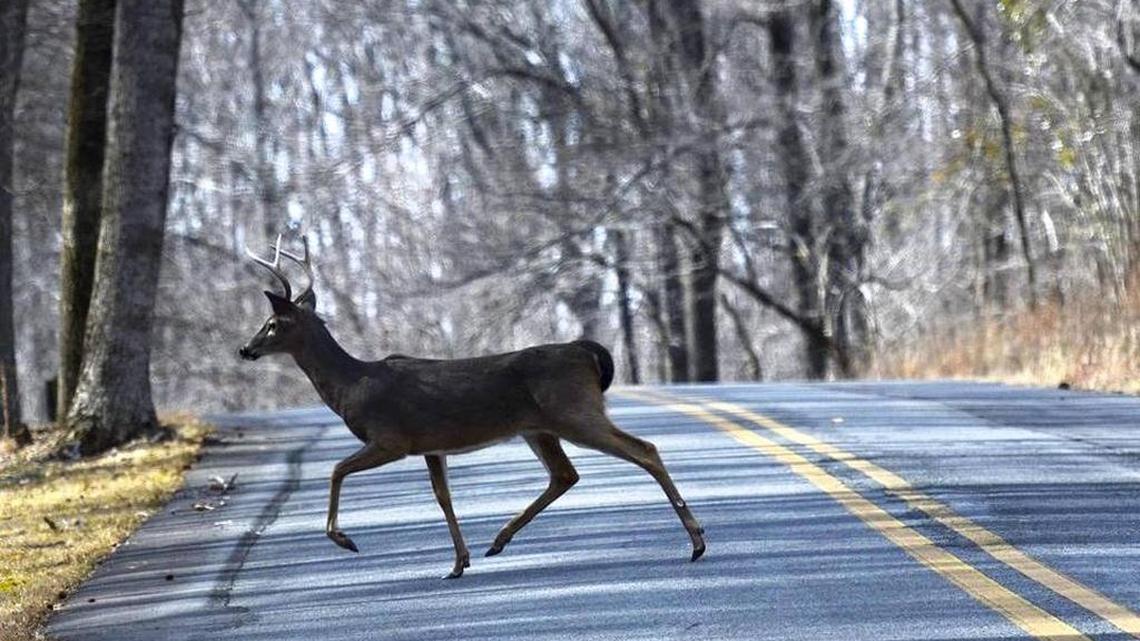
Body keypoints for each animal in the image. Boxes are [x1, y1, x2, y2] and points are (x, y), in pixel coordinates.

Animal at [238, 235, 705, 578]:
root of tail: (586, 351)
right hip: (539, 427)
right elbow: (442, 496)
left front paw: (344, 539)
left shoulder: (391, 438)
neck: (351, 386)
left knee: (643, 449)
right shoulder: (430, 446)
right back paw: (497, 541)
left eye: (273, 324)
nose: (246, 349)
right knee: (565, 474)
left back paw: (698, 542)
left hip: (573, 412)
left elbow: (336, 470)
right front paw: (457, 563)